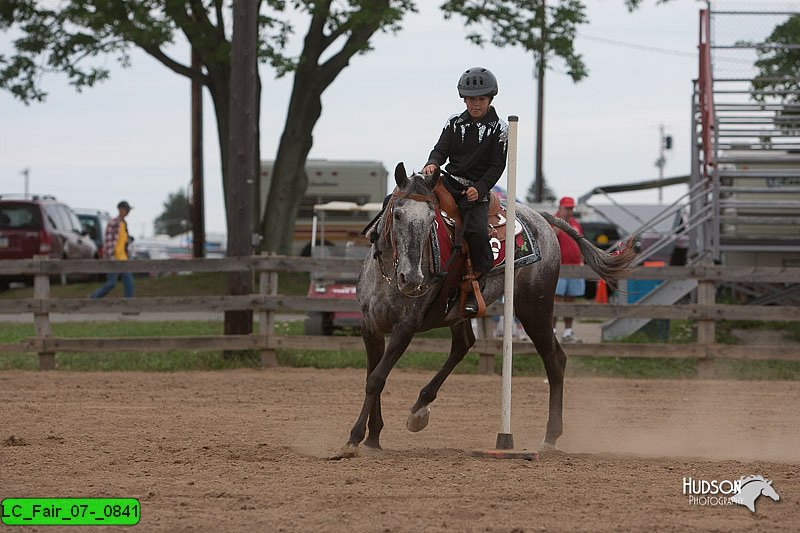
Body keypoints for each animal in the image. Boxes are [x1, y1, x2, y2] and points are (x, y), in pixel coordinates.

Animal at [334, 163, 636, 458]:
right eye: (396, 214)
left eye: (431, 218)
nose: (413, 279)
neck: (388, 274)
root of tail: (541, 218)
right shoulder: (370, 326)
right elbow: (373, 376)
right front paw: (373, 437)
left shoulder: (405, 328)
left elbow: (376, 379)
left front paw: (354, 438)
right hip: (462, 312)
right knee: (464, 344)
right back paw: (419, 409)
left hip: (534, 307)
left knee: (555, 359)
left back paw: (550, 437)